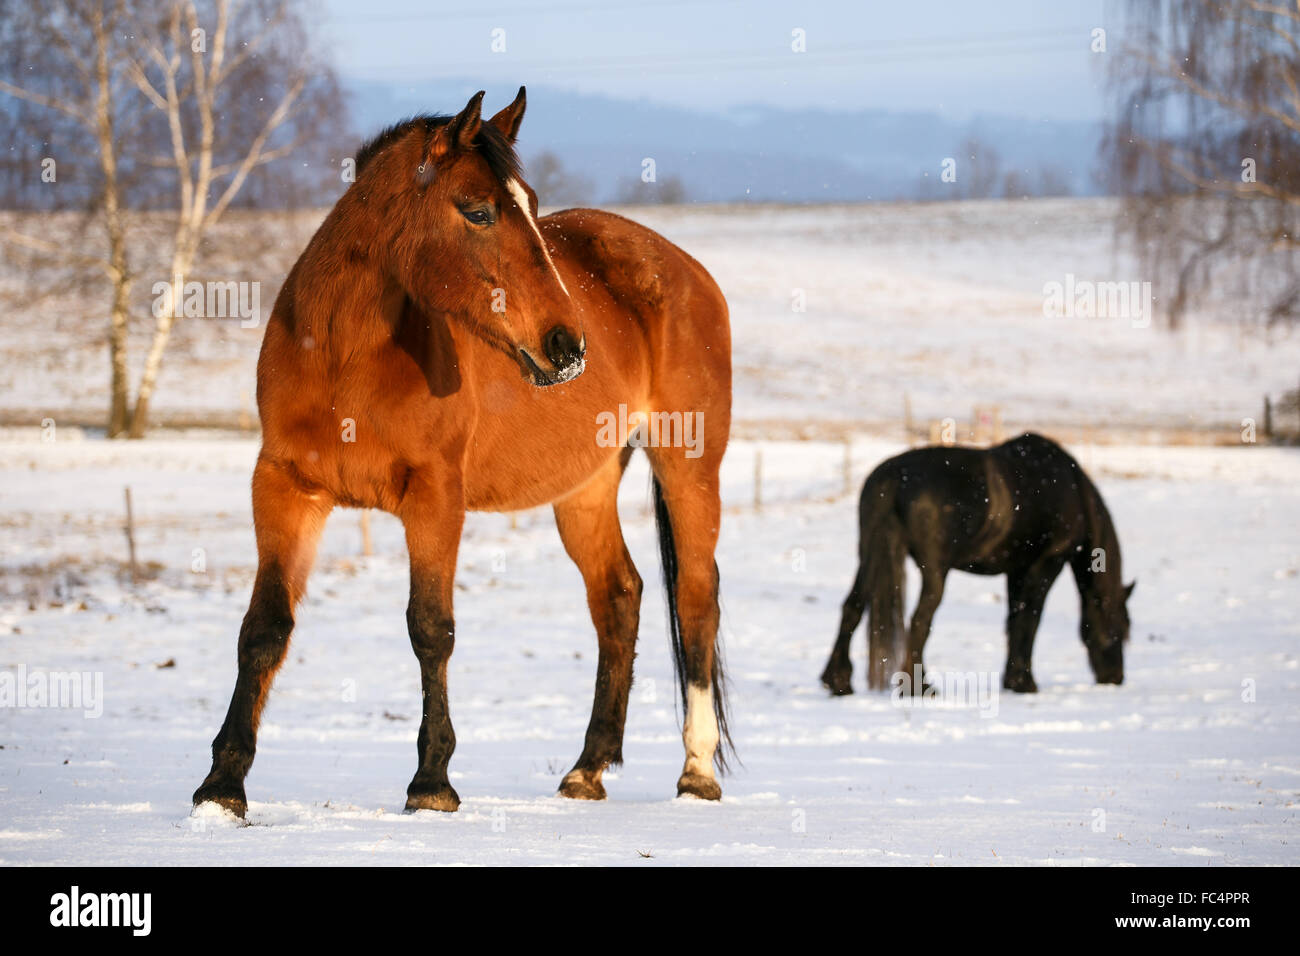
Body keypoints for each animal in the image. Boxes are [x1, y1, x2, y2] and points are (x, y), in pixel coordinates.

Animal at [196, 87, 738, 816]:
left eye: (532, 204)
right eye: (478, 210)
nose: (568, 345)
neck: (343, 359)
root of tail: (682, 267)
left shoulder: (434, 497)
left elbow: (431, 628)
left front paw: (432, 783)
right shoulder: (284, 488)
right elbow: (264, 628)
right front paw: (222, 787)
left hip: (689, 468)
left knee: (697, 600)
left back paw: (696, 772)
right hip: (585, 489)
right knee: (618, 597)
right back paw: (587, 770)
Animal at [826, 434, 1133, 697]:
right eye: (1121, 628)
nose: (1116, 677)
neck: (1073, 491)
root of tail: (891, 478)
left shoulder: (1016, 571)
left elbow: (1014, 619)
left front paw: (1012, 680)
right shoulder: (1046, 564)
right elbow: (1030, 619)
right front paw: (1025, 682)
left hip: (869, 558)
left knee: (853, 607)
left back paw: (838, 681)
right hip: (934, 572)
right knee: (920, 619)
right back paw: (918, 686)